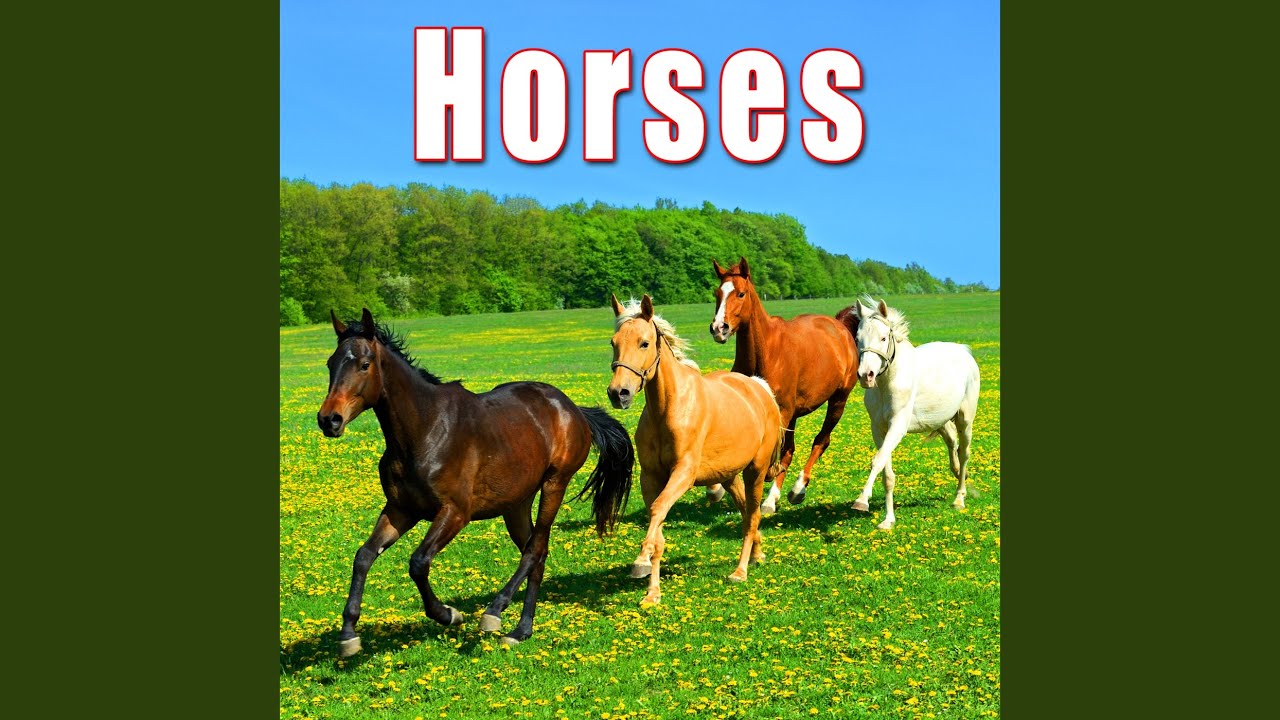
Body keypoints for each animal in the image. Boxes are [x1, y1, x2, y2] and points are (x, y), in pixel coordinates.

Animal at [317, 308, 634, 653]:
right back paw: (522, 629)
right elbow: (363, 556)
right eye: (331, 363)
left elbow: (418, 562)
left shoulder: (455, 512)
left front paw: (448, 614)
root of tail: (572, 408)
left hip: (555, 484)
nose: (329, 420)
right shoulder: (401, 510)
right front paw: (348, 634)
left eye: (364, 364)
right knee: (536, 552)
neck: (425, 430)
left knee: (534, 550)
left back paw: (495, 612)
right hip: (516, 503)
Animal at [606, 294, 782, 606]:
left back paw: (740, 570)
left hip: (756, 472)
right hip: (730, 476)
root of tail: (759, 387)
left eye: (644, 343)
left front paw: (641, 561)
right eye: (613, 342)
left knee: (752, 516)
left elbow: (658, 510)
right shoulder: (650, 477)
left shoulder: (683, 474)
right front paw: (651, 589)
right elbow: (657, 521)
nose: (619, 393)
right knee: (746, 514)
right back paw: (757, 554)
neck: (668, 408)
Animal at [705, 256, 860, 515]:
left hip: (837, 401)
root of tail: (841, 327)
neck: (766, 353)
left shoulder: (783, 412)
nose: (719, 328)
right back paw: (772, 498)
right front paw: (715, 488)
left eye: (741, 293)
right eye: (718, 293)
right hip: (796, 414)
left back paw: (796, 490)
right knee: (790, 451)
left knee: (820, 441)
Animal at [847, 296, 981, 530]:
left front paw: (862, 501)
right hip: (941, 421)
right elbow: (887, 473)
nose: (866, 375)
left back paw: (959, 498)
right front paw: (888, 520)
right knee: (952, 444)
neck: (888, 383)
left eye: (883, 337)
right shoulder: (879, 430)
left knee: (964, 453)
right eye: (857, 338)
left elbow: (878, 461)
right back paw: (956, 474)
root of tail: (964, 351)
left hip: (965, 419)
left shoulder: (897, 426)